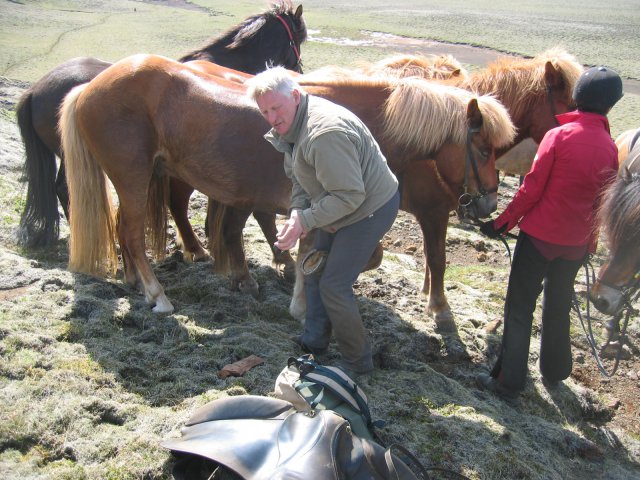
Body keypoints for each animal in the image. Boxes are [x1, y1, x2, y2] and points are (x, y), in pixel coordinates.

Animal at [57, 54, 512, 316]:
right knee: (133, 233)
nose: (489, 204)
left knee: (125, 227)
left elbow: (334, 251)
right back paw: (158, 295)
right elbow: (356, 255)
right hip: (134, 178)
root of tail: (90, 86)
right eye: (484, 149)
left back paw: (135, 281)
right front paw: (300, 297)